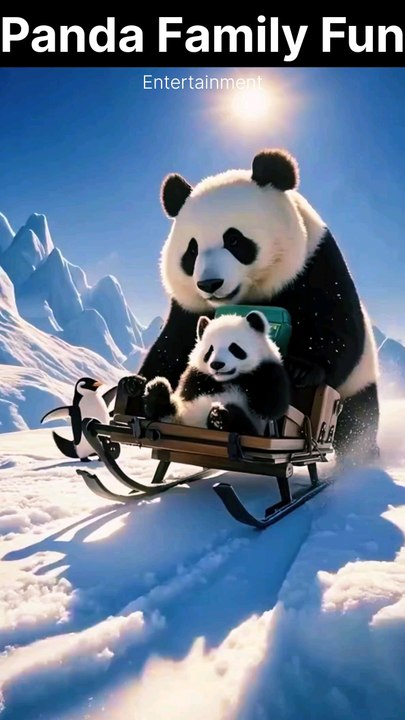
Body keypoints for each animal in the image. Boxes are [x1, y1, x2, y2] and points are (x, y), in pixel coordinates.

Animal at [142, 310, 290, 435]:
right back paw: (156, 391)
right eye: (210, 350)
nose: (217, 364)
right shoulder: (196, 375)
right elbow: (185, 392)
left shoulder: (268, 369)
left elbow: (273, 406)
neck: (226, 381)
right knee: (166, 410)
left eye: (234, 348)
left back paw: (220, 416)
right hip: (179, 417)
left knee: (240, 422)